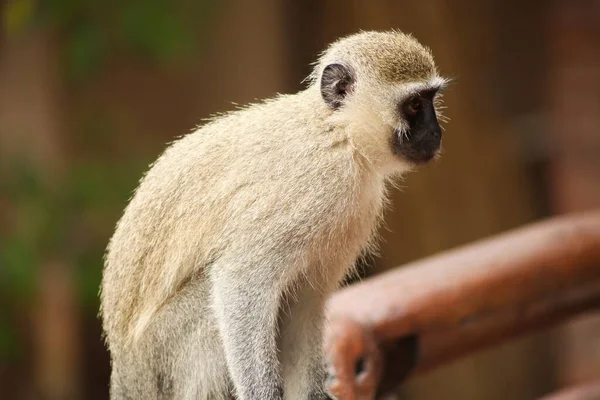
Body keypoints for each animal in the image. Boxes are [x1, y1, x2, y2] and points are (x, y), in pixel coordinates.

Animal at [101, 29, 448, 398]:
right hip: (162, 356)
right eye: (415, 105)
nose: (436, 133)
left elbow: (304, 303)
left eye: (431, 100)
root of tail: (126, 371)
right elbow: (240, 279)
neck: (338, 133)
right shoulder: (316, 188)